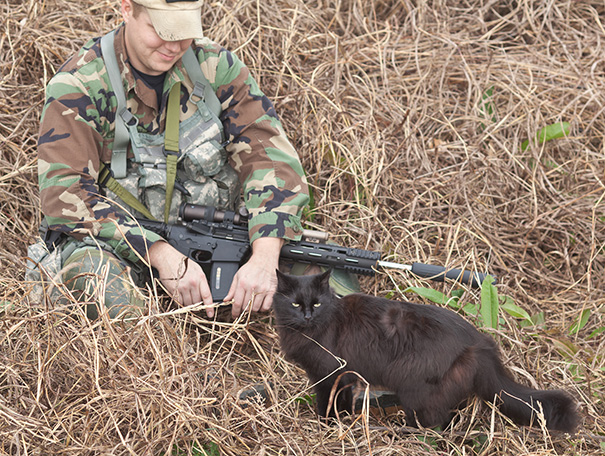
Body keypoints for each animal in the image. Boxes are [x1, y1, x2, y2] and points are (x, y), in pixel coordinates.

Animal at [272, 268, 580, 432]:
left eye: (317, 303)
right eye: (296, 303)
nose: (307, 315)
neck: (309, 332)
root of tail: (480, 343)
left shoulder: (330, 374)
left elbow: (328, 403)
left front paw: (327, 424)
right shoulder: (347, 377)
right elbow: (344, 402)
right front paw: (343, 421)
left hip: (414, 389)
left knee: (434, 422)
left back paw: (404, 432)